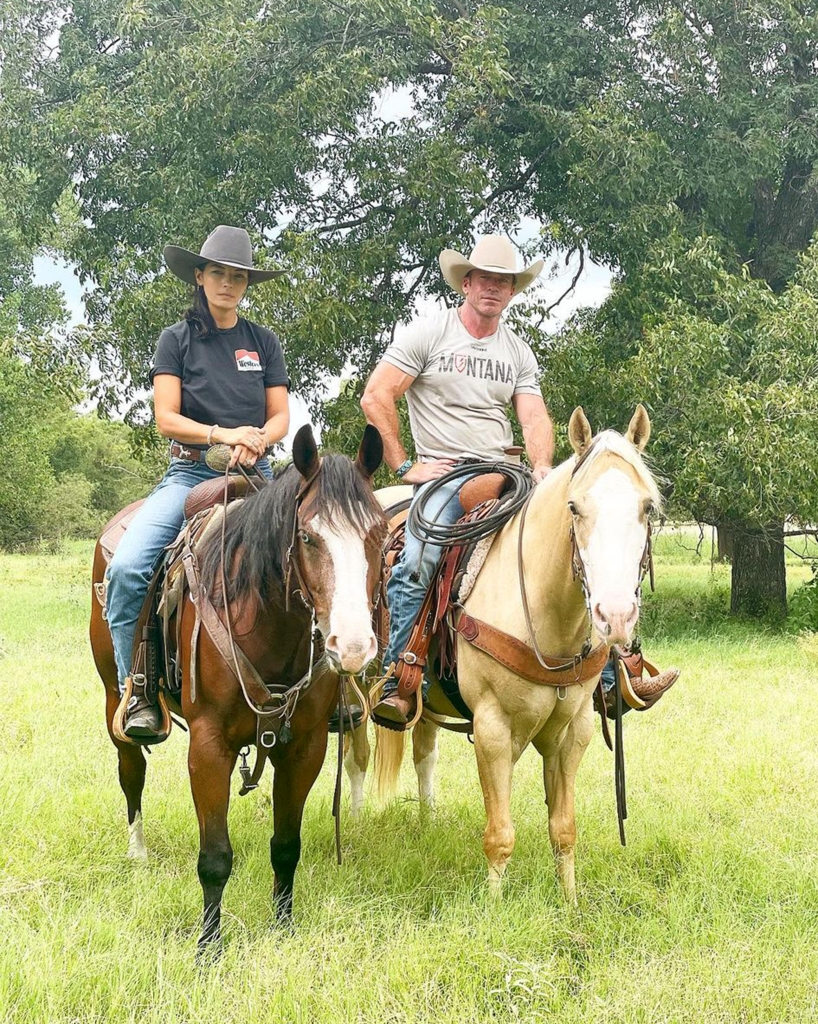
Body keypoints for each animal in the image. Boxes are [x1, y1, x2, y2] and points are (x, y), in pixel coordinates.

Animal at [91, 425, 384, 950]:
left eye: (380, 534)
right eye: (307, 536)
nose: (352, 646)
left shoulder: (304, 747)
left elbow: (286, 845)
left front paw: (283, 926)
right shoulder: (209, 748)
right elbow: (214, 858)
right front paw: (209, 946)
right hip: (112, 698)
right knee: (130, 771)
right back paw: (137, 851)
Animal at [374, 403, 663, 901]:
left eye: (647, 506)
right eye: (574, 506)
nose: (616, 616)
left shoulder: (574, 729)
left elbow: (563, 829)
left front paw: (569, 902)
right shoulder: (492, 727)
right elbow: (500, 834)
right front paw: (493, 906)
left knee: (423, 748)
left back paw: (427, 821)